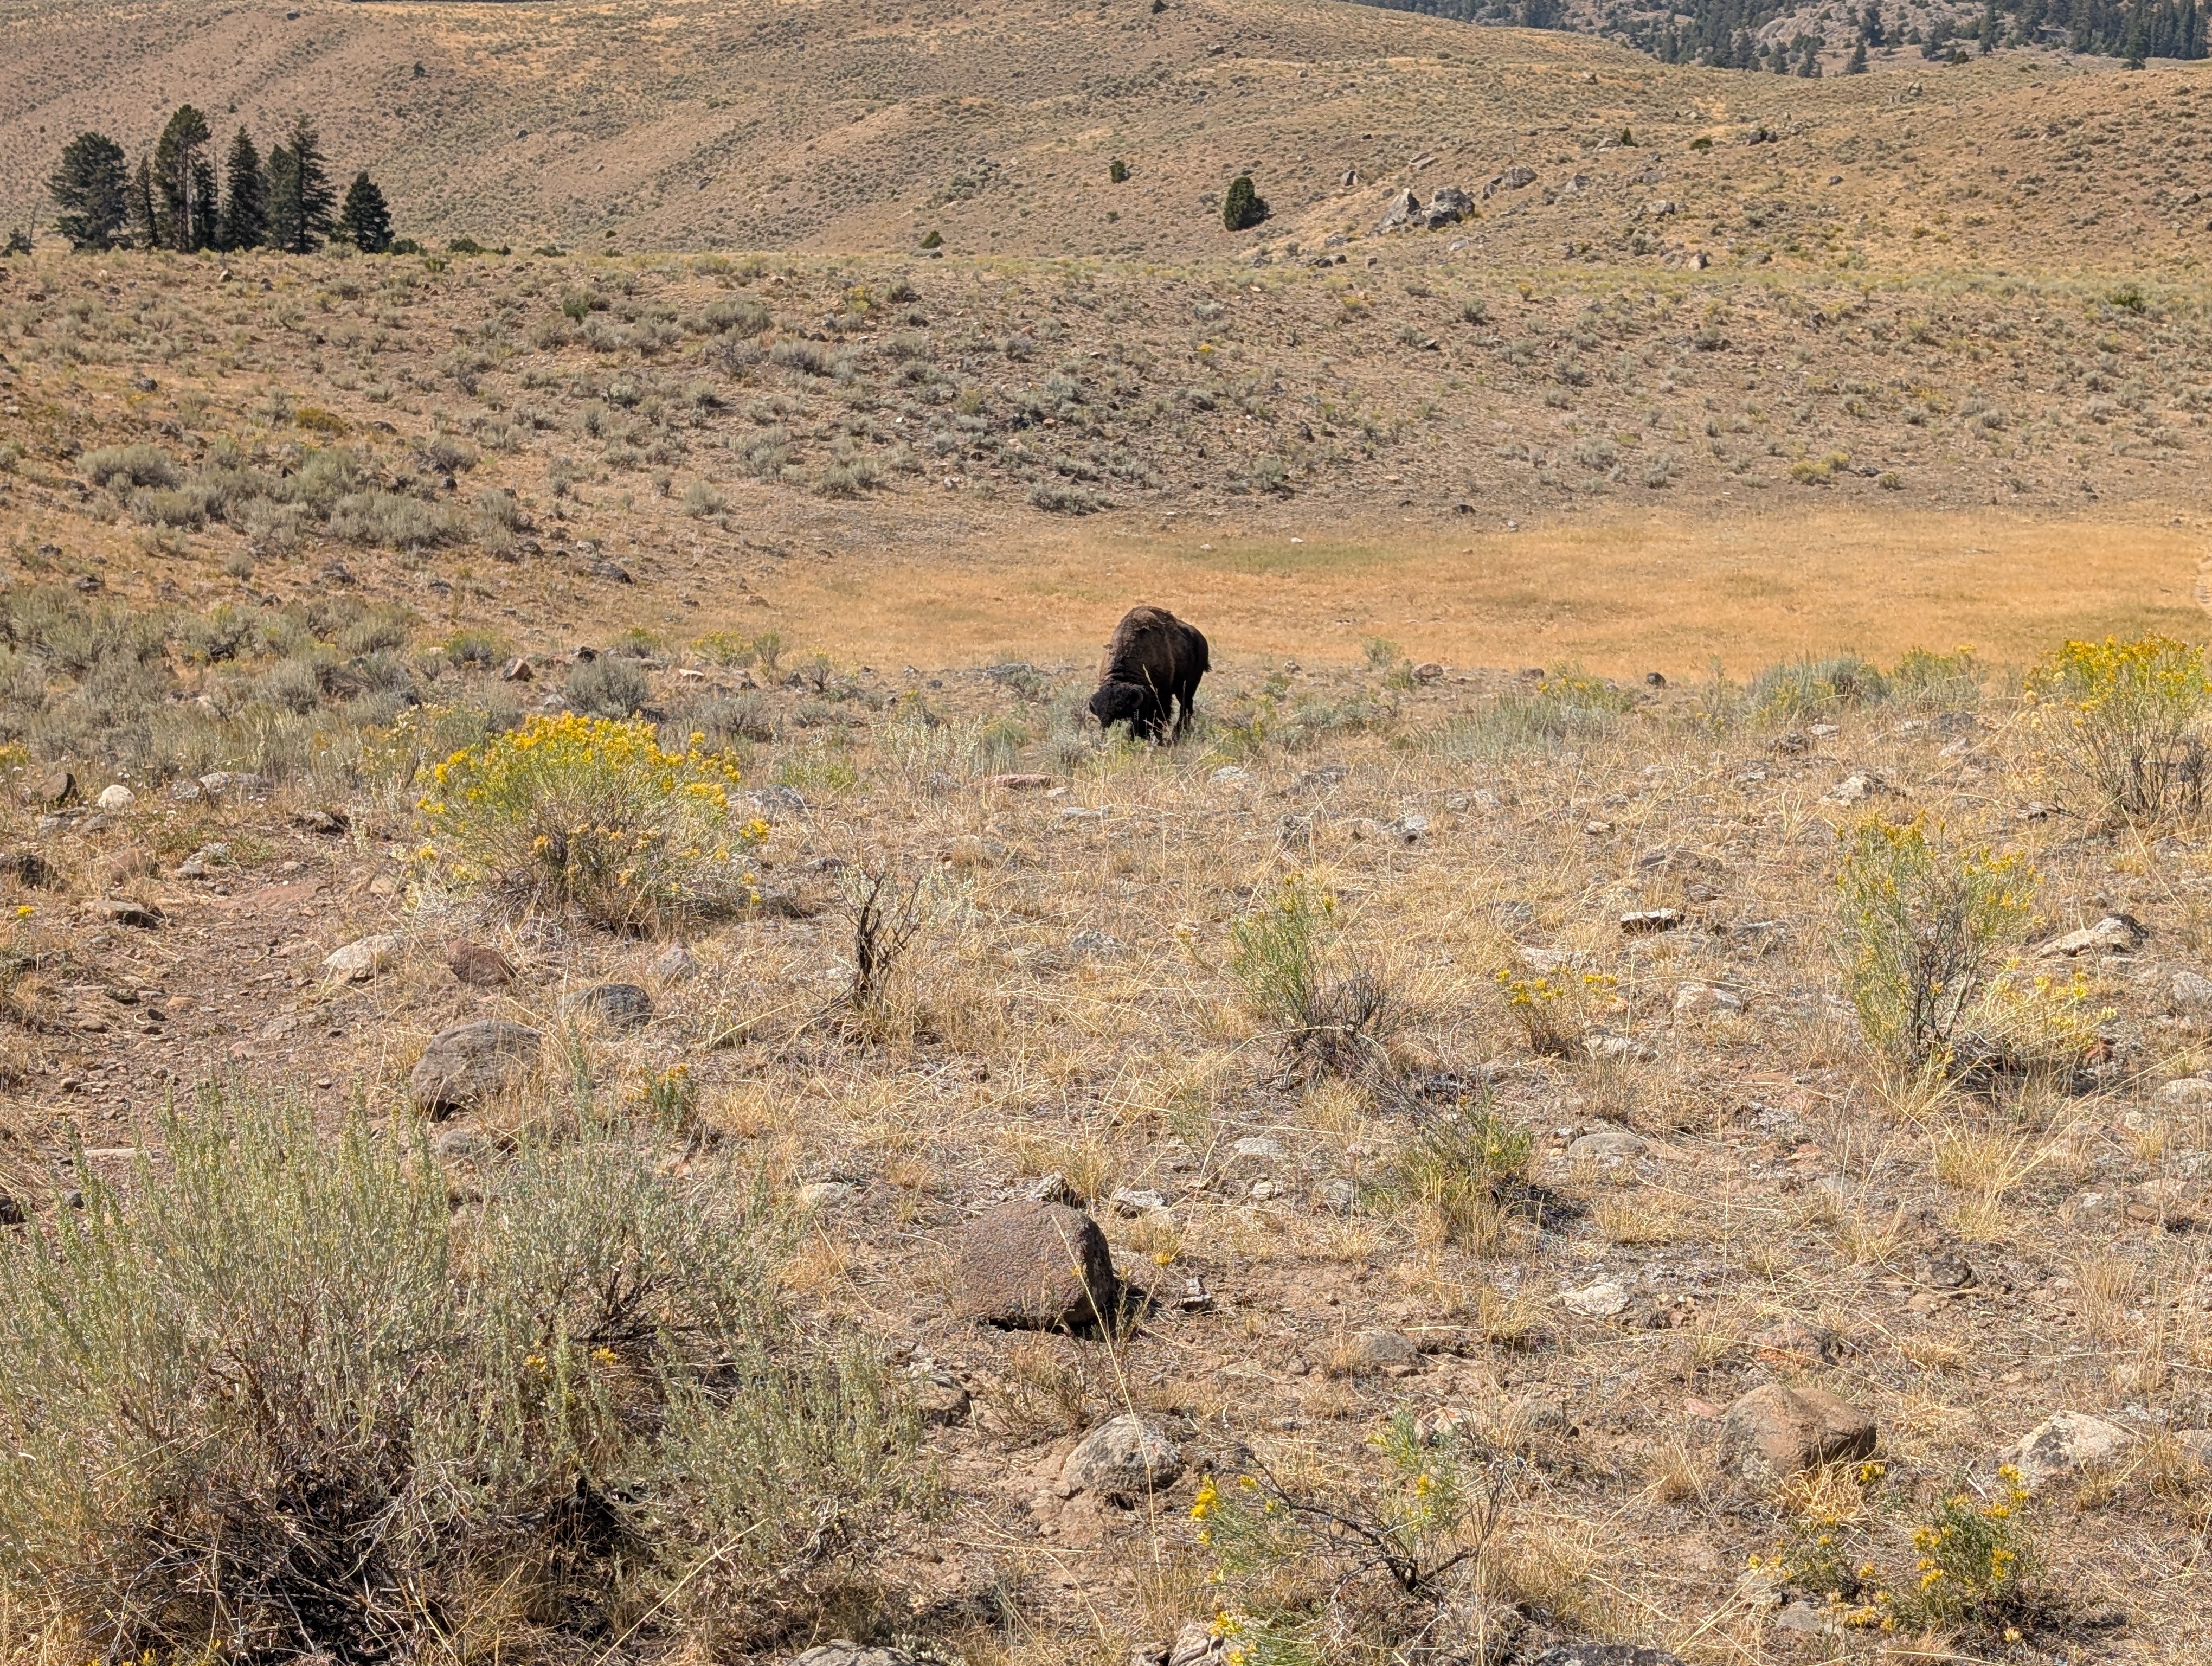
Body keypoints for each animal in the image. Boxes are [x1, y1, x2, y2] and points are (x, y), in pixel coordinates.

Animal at [1087, 605, 1209, 742]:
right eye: (1102, 719)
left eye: (1135, 713)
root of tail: (1200, 638)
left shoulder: (1162, 694)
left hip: (1188, 686)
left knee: (1186, 707)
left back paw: (1178, 733)